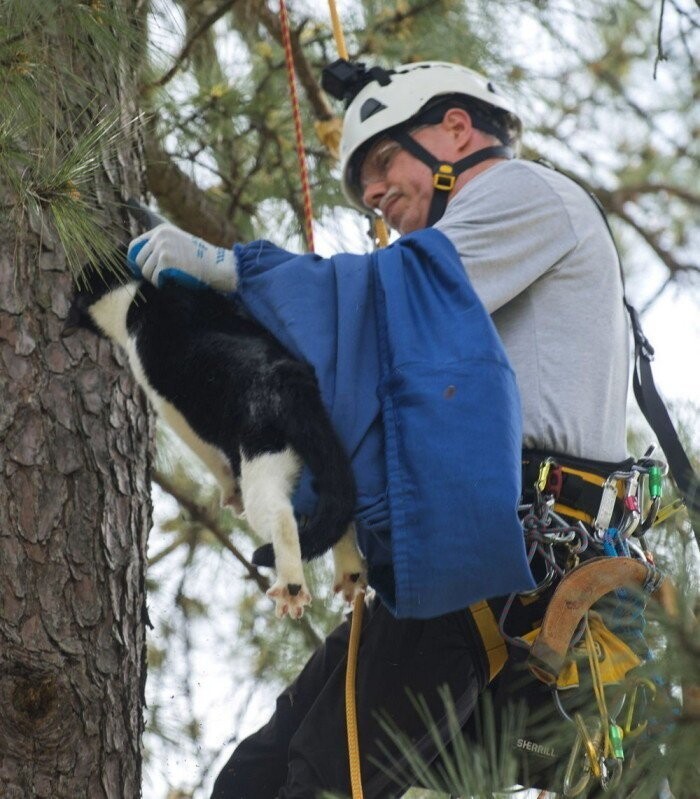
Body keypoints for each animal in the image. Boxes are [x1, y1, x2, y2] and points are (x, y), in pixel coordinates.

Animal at [64, 256, 366, 620]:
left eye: (78, 299)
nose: (66, 321)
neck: (140, 298)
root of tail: (286, 378)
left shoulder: (165, 403)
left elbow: (204, 452)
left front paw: (228, 491)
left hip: (262, 461)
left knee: (280, 516)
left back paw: (291, 586)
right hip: (321, 448)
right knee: (338, 506)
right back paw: (351, 573)